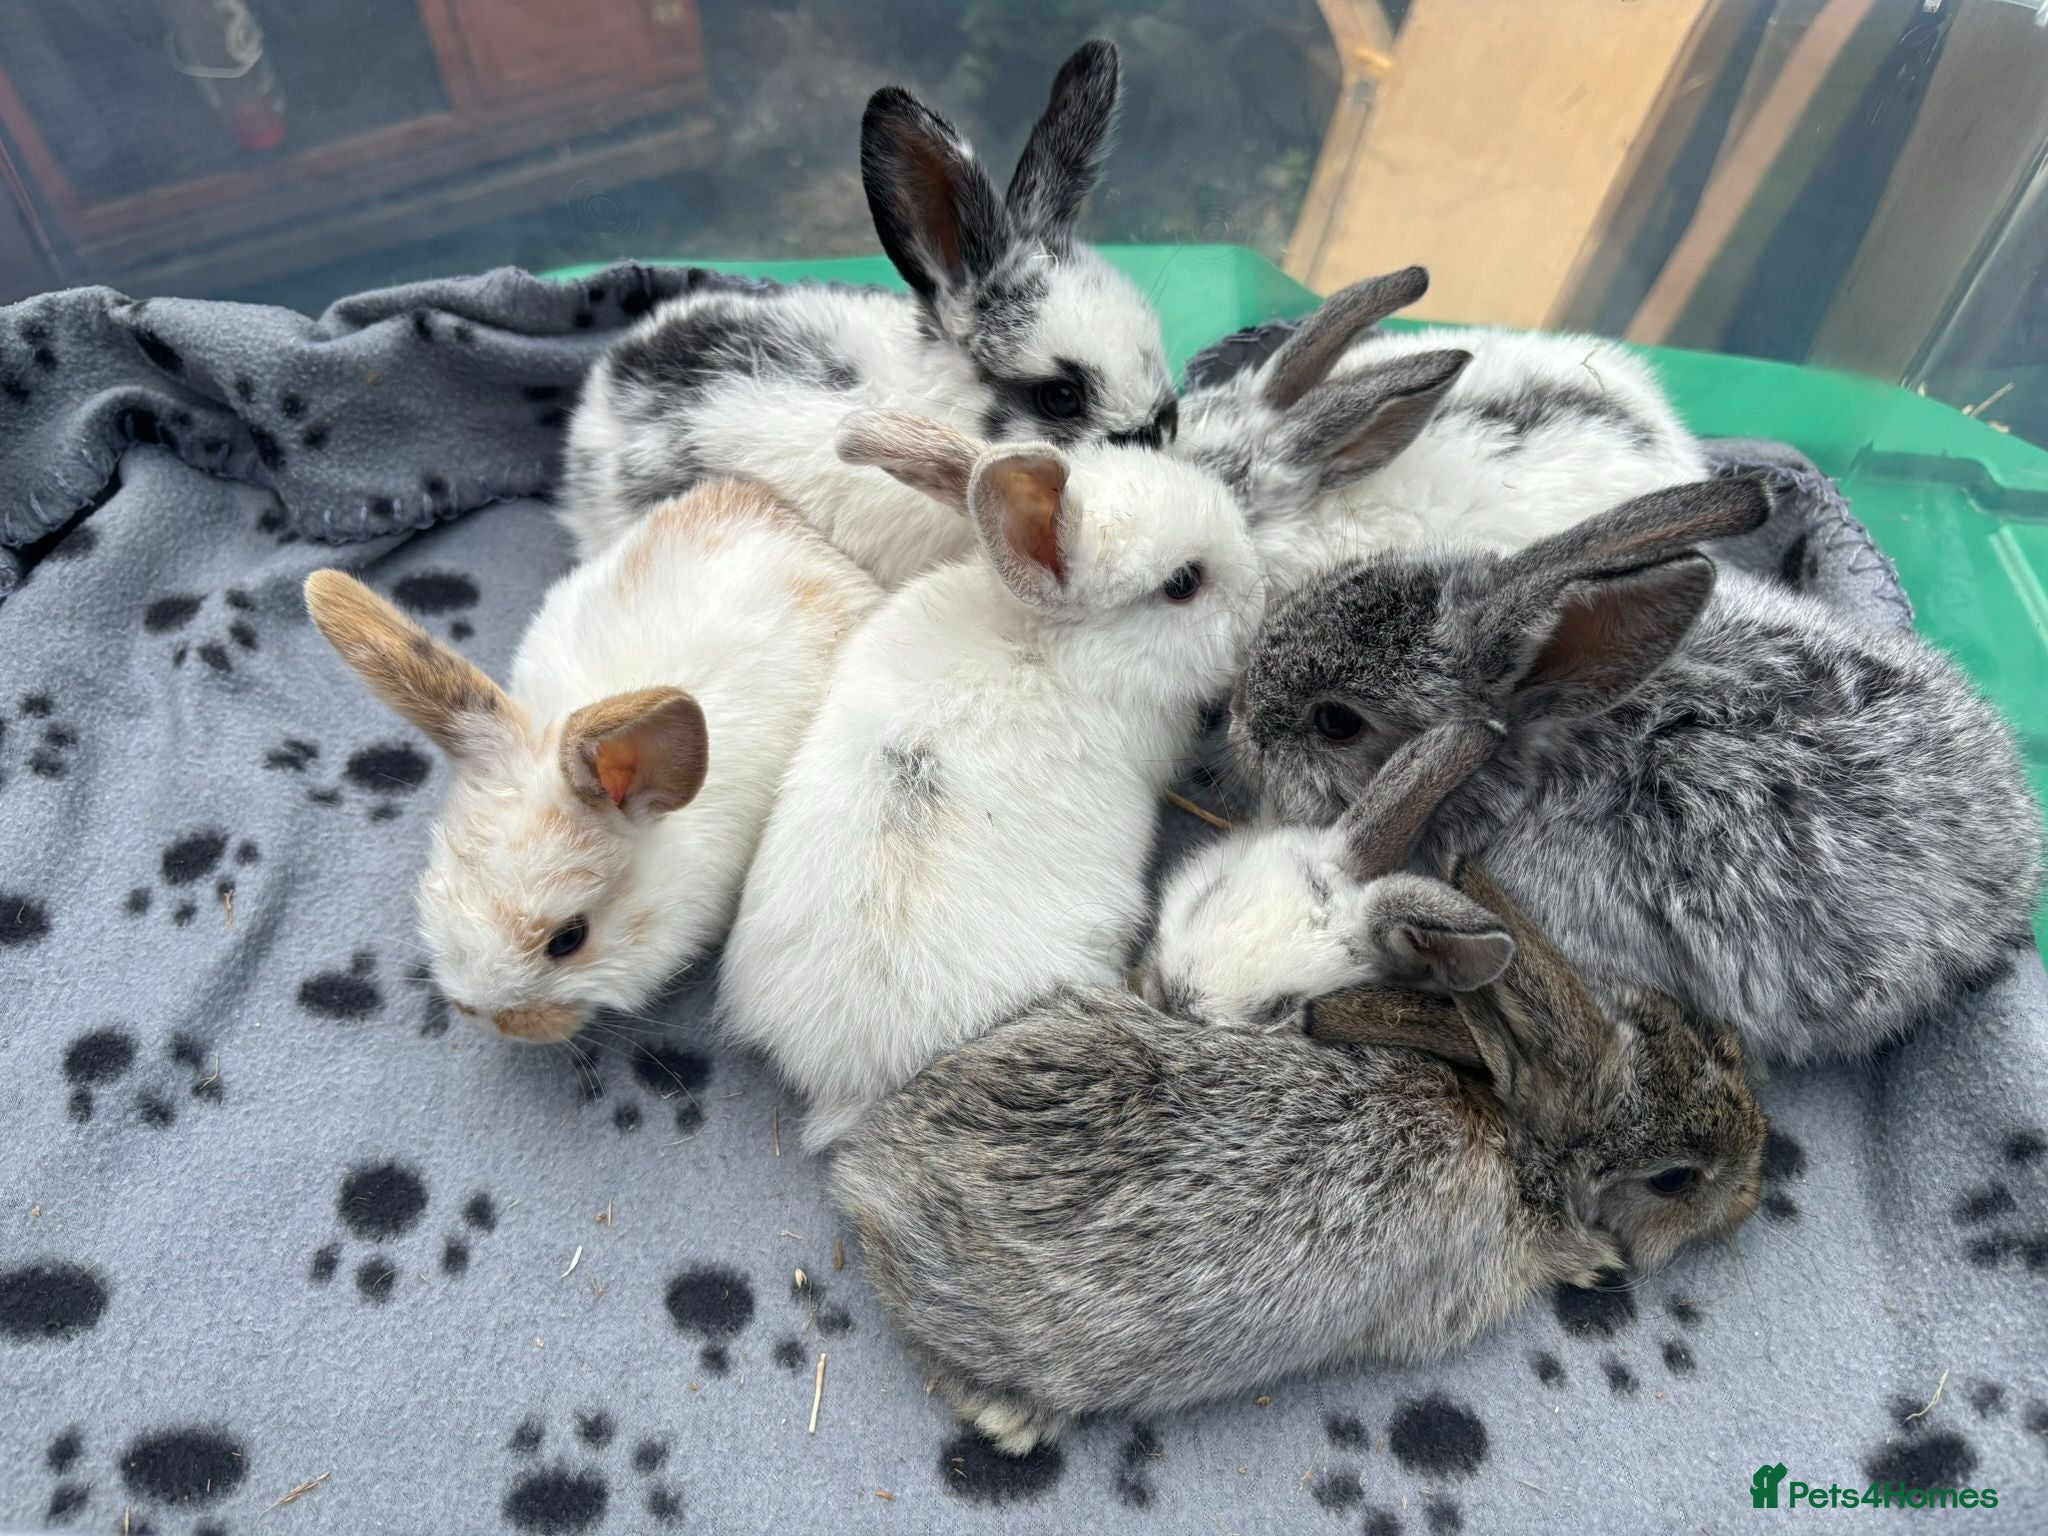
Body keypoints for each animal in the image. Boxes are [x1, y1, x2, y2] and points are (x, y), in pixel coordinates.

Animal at [831, 724, 1767, 1454]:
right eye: (1676, 1179)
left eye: (1711, 1036)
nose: (1755, 1193)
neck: (1513, 1130)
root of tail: (875, 1177)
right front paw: (1598, 1259)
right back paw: (1011, 1418)